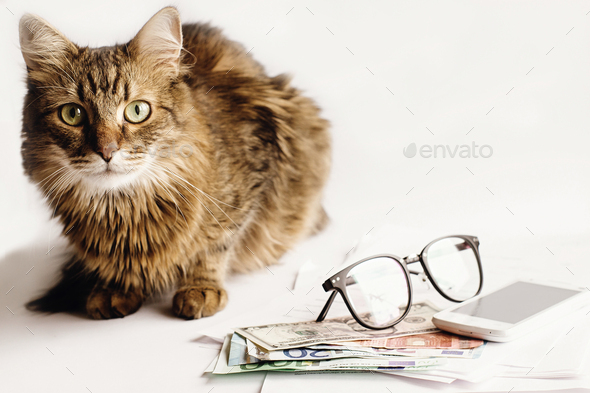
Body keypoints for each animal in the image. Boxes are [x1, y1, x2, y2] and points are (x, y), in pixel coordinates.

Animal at [19, 6, 332, 318]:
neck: (125, 211)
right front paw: (115, 287)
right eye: (72, 114)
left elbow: (215, 245)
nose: (107, 151)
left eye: (137, 111)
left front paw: (200, 287)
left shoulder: (260, 162)